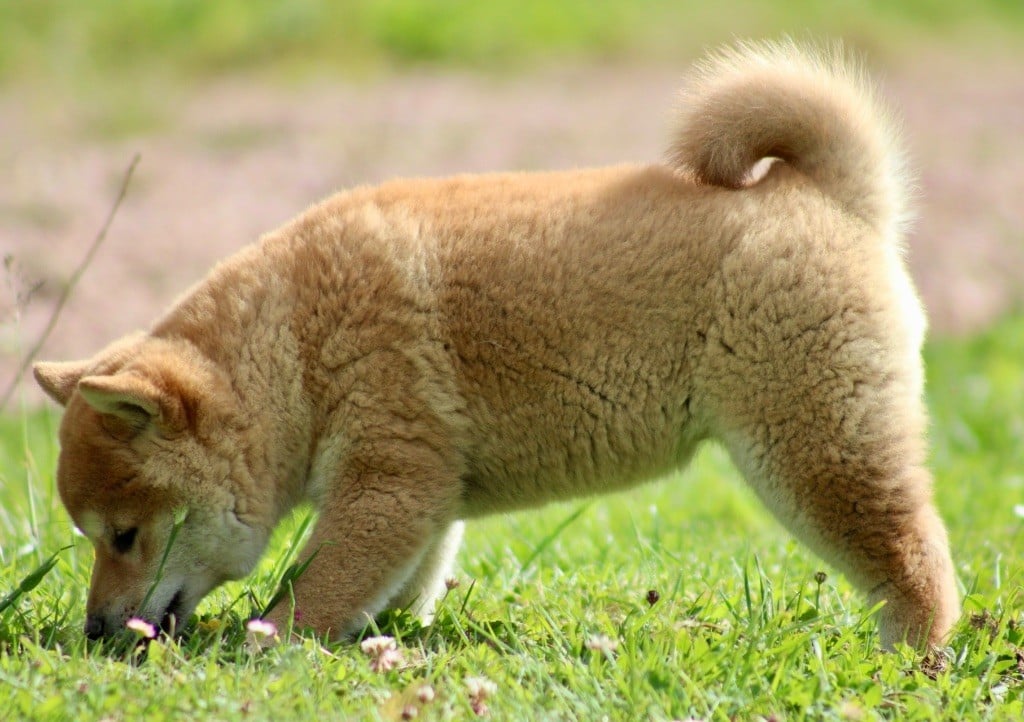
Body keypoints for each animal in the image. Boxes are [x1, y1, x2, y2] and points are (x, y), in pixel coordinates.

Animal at [34, 40, 959, 649]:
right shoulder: (422, 489)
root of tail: (833, 196)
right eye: (92, 536)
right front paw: (386, 637)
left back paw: (910, 654)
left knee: (915, 553)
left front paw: (267, 642)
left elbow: (322, 587)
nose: (95, 630)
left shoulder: (387, 478)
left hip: (811, 444)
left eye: (123, 536)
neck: (292, 351)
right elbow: (409, 576)